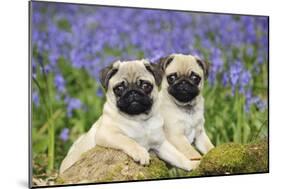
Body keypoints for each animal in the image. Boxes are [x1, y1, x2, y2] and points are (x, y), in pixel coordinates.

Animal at [59, 59, 197, 174]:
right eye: (119, 88)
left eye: (145, 86)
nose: (132, 92)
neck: (139, 120)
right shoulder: (107, 134)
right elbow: (128, 140)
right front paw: (141, 153)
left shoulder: (160, 144)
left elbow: (178, 156)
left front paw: (192, 164)